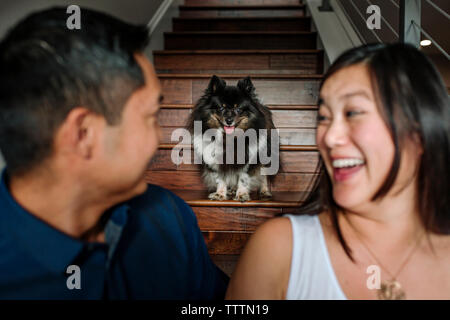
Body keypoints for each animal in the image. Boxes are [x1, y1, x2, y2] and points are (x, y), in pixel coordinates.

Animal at [186, 74, 278, 202]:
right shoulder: (217, 160)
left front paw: (242, 194)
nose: (229, 121)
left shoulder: (249, 159)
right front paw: (220, 194)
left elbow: (243, 178)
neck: (228, 138)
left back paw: (264, 192)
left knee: (264, 174)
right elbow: (220, 178)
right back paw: (232, 190)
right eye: (221, 108)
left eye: (238, 109)